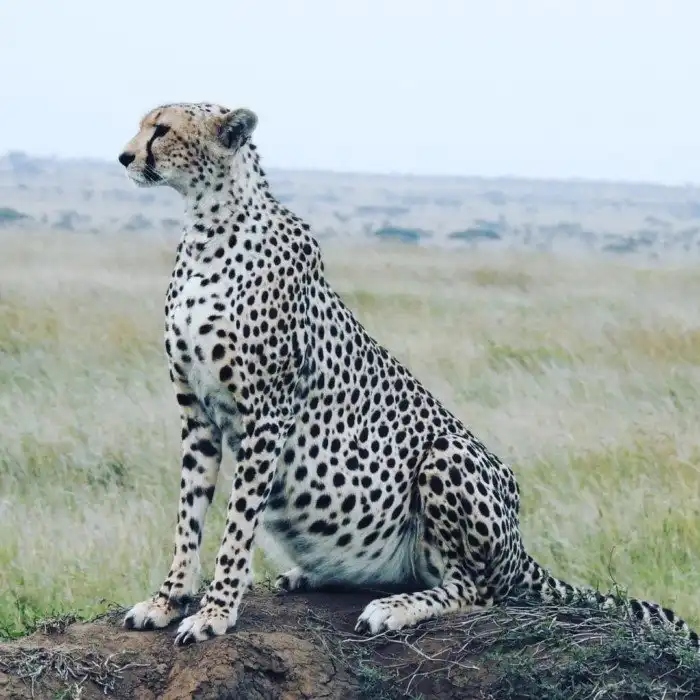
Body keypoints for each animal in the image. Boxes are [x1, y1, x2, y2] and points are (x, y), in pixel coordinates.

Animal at [117, 101, 696, 648]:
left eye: (162, 130)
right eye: (145, 125)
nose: (124, 157)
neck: (208, 228)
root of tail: (520, 546)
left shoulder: (266, 415)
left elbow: (237, 526)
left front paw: (215, 613)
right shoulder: (197, 415)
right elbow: (188, 516)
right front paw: (168, 600)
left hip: (448, 454)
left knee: (477, 588)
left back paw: (394, 608)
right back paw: (312, 575)